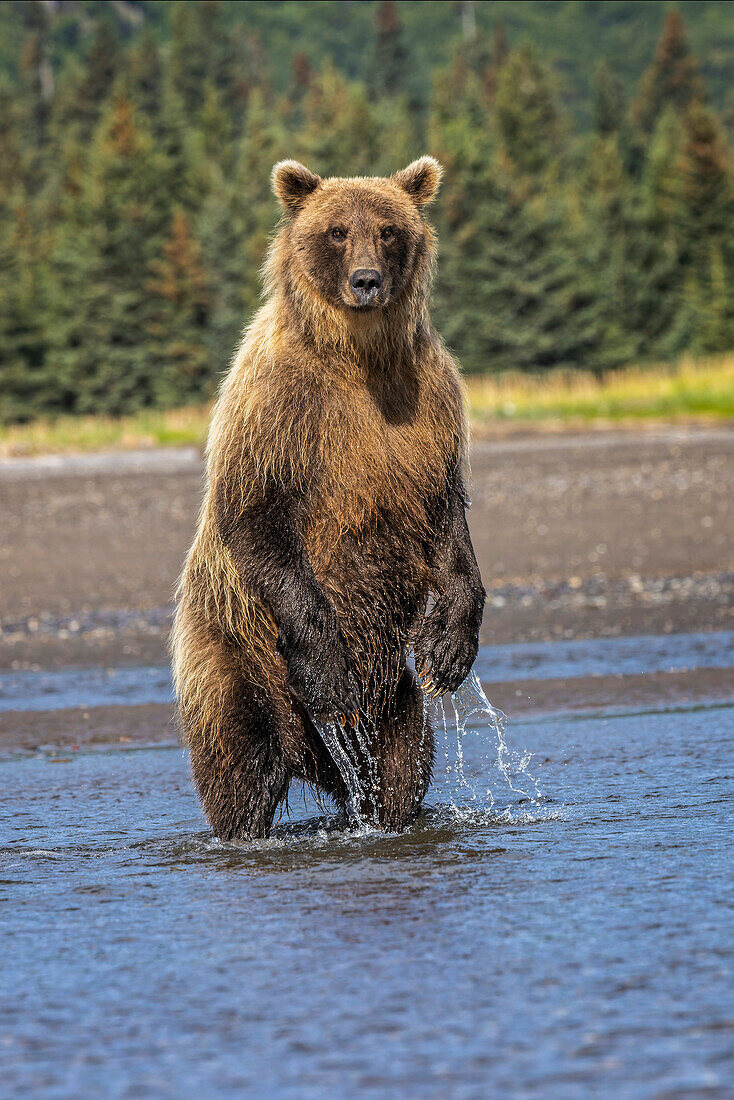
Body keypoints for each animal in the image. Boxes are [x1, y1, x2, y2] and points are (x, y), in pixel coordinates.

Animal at [169, 155, 484, 836]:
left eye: (389, 230)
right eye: (338, 231)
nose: (367, 281)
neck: (356, 355)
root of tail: (307, 752)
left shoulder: (428, 405)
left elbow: (445, 512)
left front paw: (449, 645)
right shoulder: (275, 410)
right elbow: (256, 514)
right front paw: (328, 671)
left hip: (389, 693)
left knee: (403, 758)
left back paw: (387, 815)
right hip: (234, 655)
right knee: (240, 767)